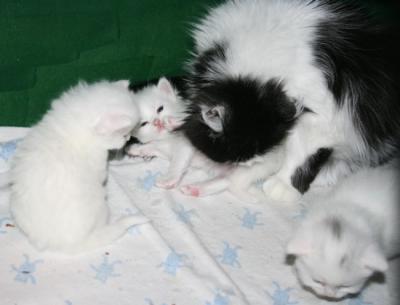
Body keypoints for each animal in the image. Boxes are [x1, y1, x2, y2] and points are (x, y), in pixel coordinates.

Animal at [10, 79, 148, 253]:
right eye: (124, 134)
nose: (129, 137)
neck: (75, 125)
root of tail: (66, 244)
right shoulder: (99, 163)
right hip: (101, 205)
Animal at [128, 77, 282, 198]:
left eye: (160, 109)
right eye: (144, 123)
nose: (157, 122)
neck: (167, 139)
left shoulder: (186, 143)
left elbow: (178, 162)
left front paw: (169, 179)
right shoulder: (162, 148)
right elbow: (151, 147)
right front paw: (136, 149)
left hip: (248, 165)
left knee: (231, 181)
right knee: (225, 181)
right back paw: (195, 189)